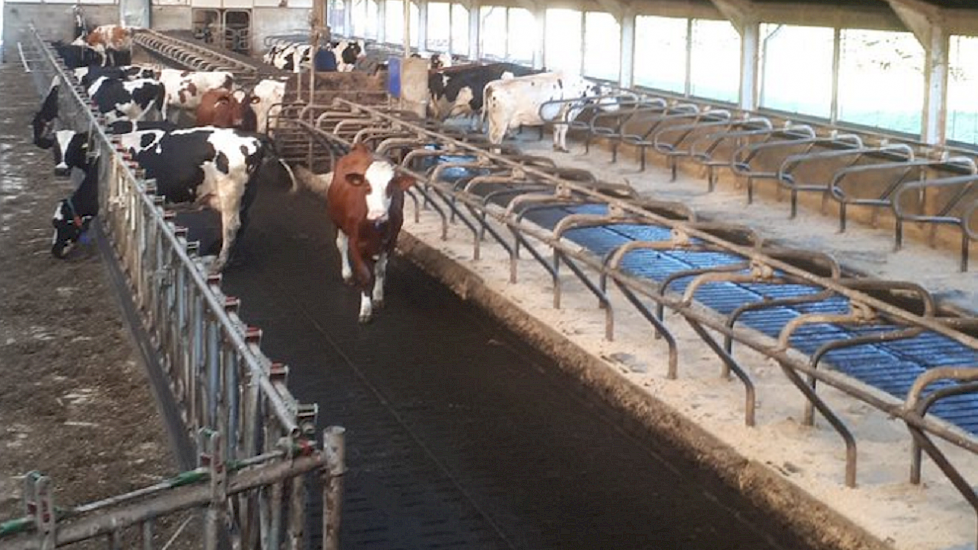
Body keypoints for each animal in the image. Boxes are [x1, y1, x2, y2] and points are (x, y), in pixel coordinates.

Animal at [482, 71, 616, 153]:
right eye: (610, 93)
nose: (618, 105)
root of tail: (492, 85)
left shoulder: (559, 113)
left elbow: (556, 128)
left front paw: (556, 145)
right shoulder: (568, 110)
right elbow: (563, 129)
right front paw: (564, 147)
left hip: (493, 120)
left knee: (490, 137)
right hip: (501, 122)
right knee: (496, 139)